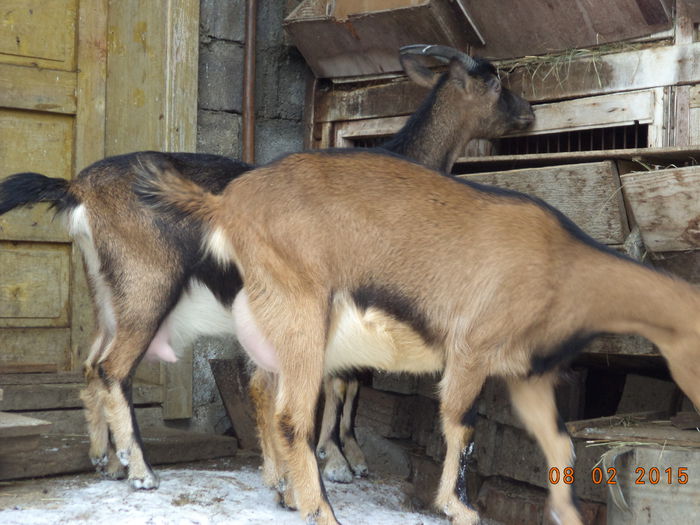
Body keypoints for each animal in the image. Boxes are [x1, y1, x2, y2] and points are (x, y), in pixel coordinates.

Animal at [137, 148, 700, 524]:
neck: (563, 264)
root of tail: (227, 204)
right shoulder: (471, 351)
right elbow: (462, 426)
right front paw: (458, 508)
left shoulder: (526, 375)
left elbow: (560, 446)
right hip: (301, 314)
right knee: (292, 416)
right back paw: (319, 509)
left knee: (264, 392)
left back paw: (284, 491)